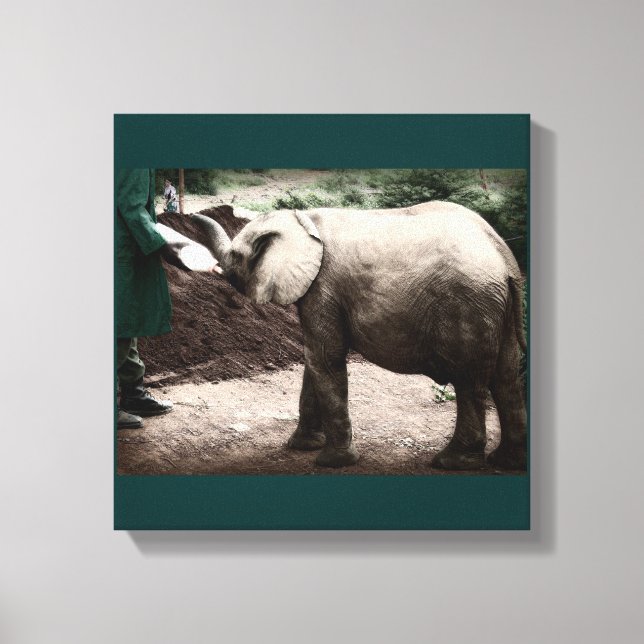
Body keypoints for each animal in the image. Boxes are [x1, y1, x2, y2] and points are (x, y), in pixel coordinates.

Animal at [191, 201, 527, 470]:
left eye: (236, 255)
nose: (192, 215)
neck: (302, 219)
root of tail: (505, 260)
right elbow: (314, 362)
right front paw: (300, 446)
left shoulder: (323, 287)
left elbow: (324, 358)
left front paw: (331, 462)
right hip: (496, 308)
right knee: (506, 377)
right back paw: (506, 462)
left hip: (468, 305)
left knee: (469, 380)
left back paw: (452, 463)